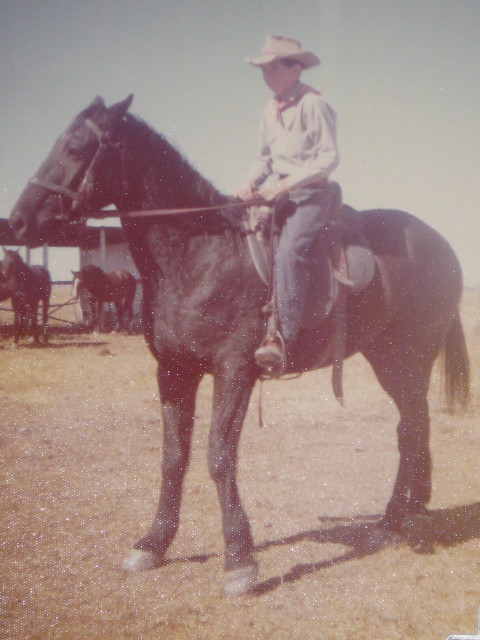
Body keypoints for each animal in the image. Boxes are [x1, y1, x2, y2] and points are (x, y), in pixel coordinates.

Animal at [9, 94, 470, 596]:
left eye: (75, 148)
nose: (18, 221)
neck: (200, 254)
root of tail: (441, 245)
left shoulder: (233, 371)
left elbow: (218, 456)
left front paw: (239, 559)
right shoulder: (173, 370)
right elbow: (174, 458)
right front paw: (153, 543)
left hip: (406, 360)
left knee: (410, 430)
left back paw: (394, 518)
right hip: (390, 359)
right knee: (417, 425)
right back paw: (413, 508)